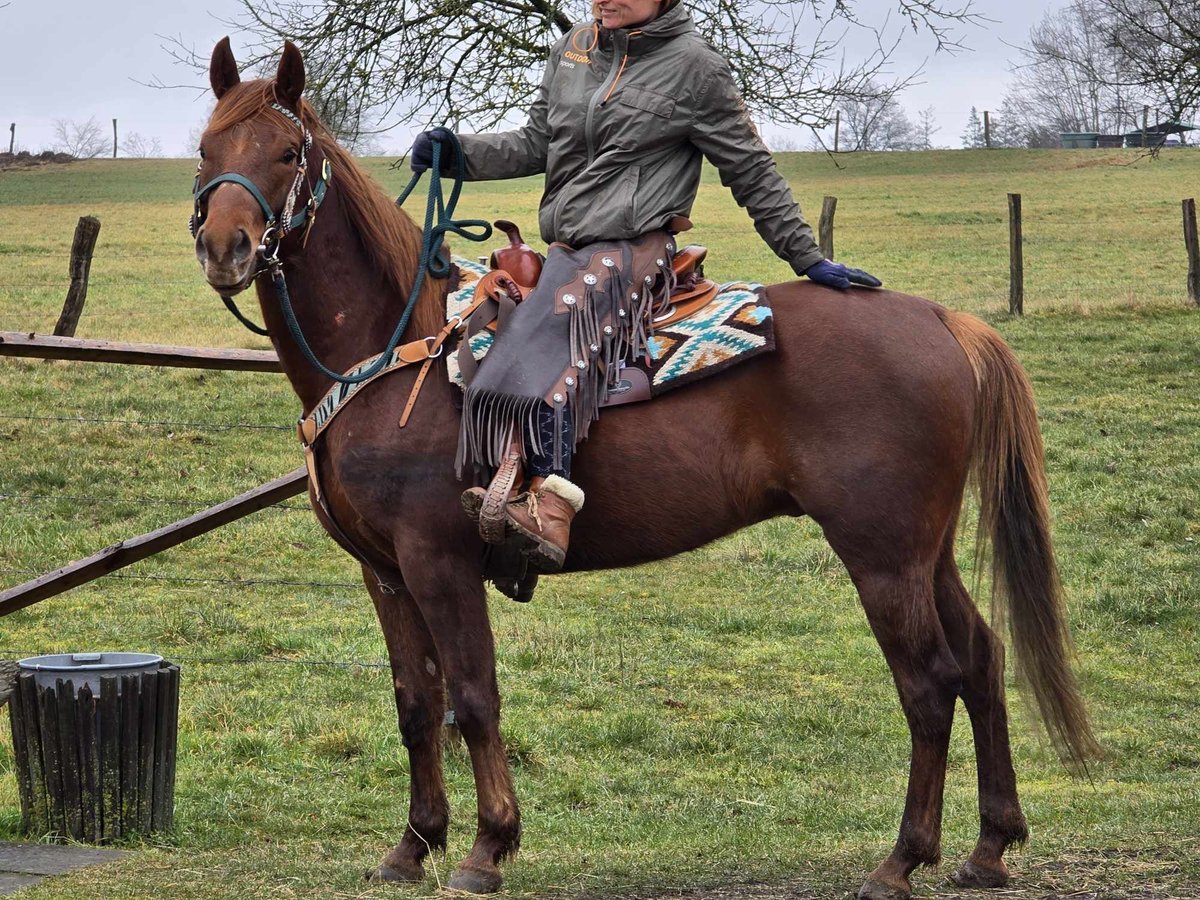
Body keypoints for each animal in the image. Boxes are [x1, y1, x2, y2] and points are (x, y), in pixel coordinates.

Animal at [194, 40, 1099, 900]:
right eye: (207, 148)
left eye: (286, 151)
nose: (224, 248)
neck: (395, 348)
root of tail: (944, 321)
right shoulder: (384, 571)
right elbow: (418, 705)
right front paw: (413, 847)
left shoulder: (438, 561)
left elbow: (474, 698)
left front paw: (488, 848)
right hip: (923, 550)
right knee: (981, 660)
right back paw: (988, 848)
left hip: (881, 554)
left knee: (930, 684)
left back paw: (901, 861)